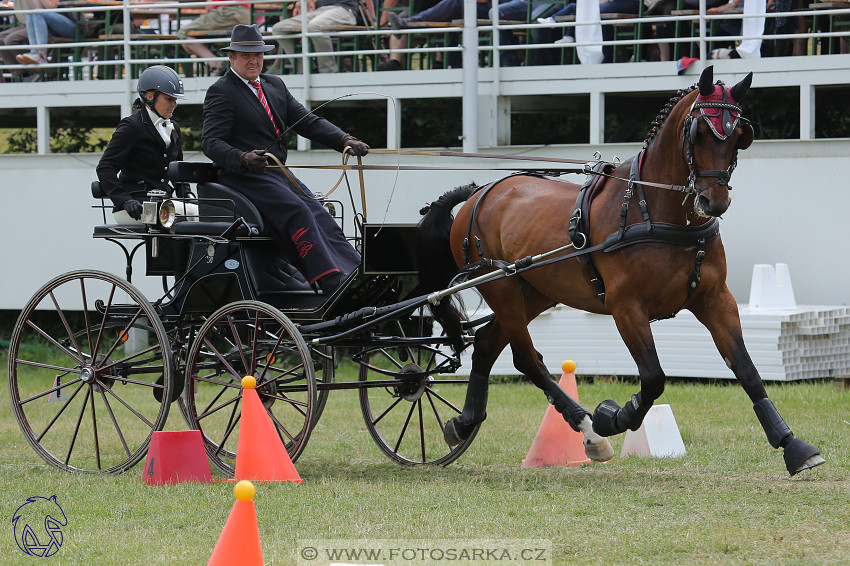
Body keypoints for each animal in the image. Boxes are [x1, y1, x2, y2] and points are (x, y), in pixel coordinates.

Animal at [418, 64, 820, 478]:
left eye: (740, 136)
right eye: (699, 132)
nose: (715, 201)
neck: (655, 210)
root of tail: (478, 193)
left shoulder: (715, 300)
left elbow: (746, 369)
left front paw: (792, 444)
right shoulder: (627, 308)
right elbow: (654, 377)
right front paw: (611, 417)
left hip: (534, 292)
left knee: (487, 346)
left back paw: (465, 421)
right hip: (503, 291)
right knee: (525, 358)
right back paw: (588, 429)